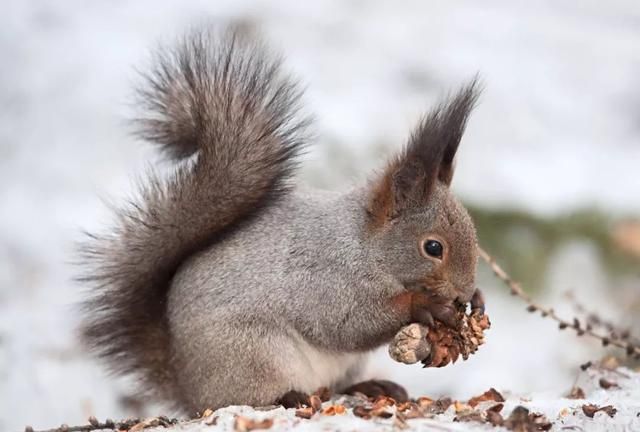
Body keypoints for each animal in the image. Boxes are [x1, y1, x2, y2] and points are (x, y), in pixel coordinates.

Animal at [77, 28, 482, 414]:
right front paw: (425, 304)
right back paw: (288, 397)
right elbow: (347, 324)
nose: (463, 293)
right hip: (255, 354)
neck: (365, 246)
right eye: (433, 247)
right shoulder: (325, 280)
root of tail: (188, 388)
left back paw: (370, 387)